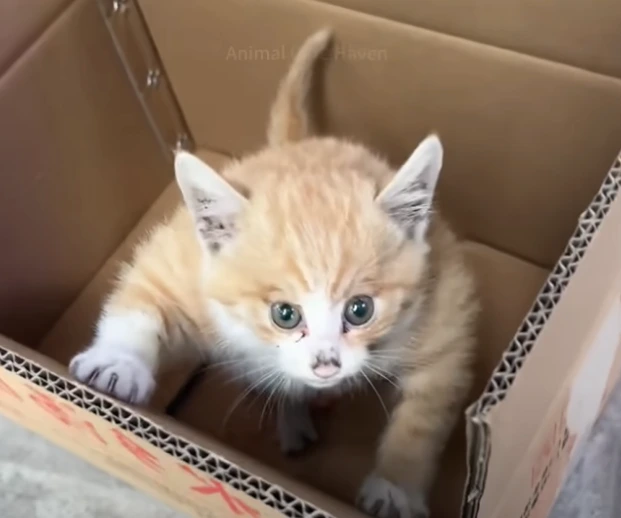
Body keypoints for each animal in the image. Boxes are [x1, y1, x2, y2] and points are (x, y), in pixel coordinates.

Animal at [71, 27, 480, 518]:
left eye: (360, 310)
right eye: (284, 315)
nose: (326, 365)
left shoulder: (444, 303)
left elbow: (428, 406)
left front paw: (395, 486)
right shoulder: (186, 265)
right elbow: (145, 292)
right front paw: (118, 363)